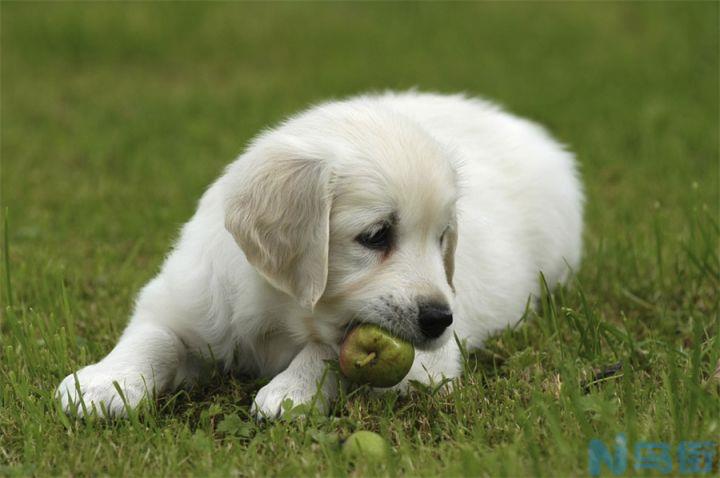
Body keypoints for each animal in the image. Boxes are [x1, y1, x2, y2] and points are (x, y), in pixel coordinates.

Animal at [57, 90, 584, 418]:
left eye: (442, 239)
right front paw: (105, 382)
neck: (282, 313)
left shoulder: (427, 367)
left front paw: (291, 391)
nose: (440, 319)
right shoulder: (185, 297)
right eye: (376, 236)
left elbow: (331, 349)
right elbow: (154, 336)